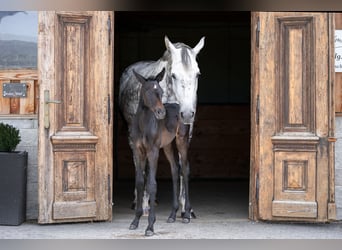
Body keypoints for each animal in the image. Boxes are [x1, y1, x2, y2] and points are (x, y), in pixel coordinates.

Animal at [129, 68, 182, 236]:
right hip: (168, 146)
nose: (161, 113)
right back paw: (172, 215)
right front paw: (135, 221)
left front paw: (150, 226)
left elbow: (152, 184)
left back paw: (186, 215)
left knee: (185, 169)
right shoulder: (138, 151)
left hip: (182, 141)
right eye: (147, 91)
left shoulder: (153, 152)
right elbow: (140, 182)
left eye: (160, 91)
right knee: (175, 170)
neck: (143, 124)